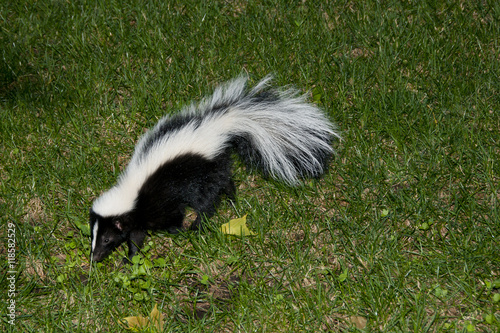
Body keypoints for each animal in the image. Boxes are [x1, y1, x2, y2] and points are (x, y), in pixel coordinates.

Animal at [89, 75, 340, 262]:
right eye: (94, 237)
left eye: (106, 239)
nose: (94, 257)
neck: (131, 192)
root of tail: (221, 124)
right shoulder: (140, 215)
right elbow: (137, 236)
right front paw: (130, 258)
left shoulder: (160, 201)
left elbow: (174, 216)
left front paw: (179, 230)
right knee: (226, 182)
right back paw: (231, 200)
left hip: (204, 170)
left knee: (210, 196)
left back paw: (200, 223)